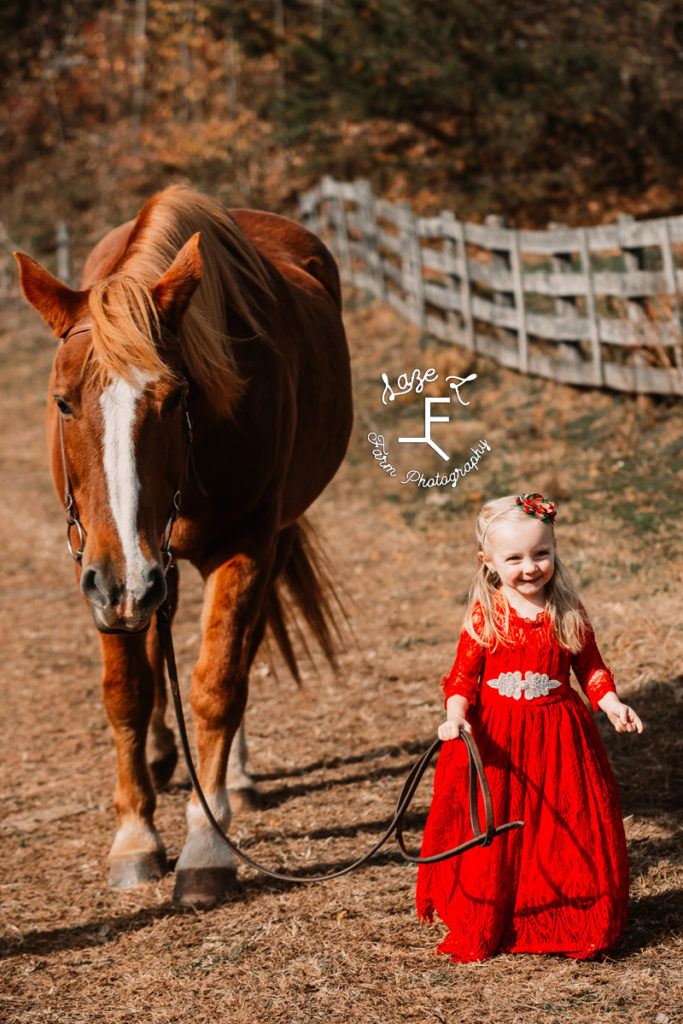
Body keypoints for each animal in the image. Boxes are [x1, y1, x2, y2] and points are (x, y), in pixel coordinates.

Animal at [15, 184, 352, 905]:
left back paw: (232, 782)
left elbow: (218, 681)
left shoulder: (246, 543)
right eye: (62, 402)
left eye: (175, 399)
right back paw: (163, 754)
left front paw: (206, 841)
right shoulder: (99, 564)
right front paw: (134, 836)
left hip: (250, 544)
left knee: (243, 650)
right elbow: (126, 689)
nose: (124, 579)